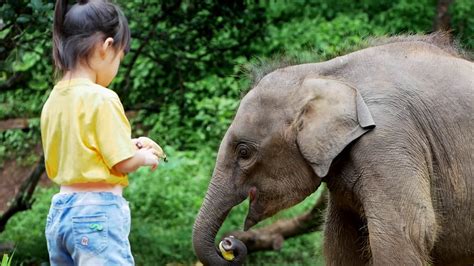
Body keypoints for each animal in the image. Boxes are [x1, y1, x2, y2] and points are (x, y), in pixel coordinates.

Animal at [193, 33, 474, 266]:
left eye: (244, 153)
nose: (229, 244)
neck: (323, 72)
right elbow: (340, 242)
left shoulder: (388, 139)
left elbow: (409, 230)